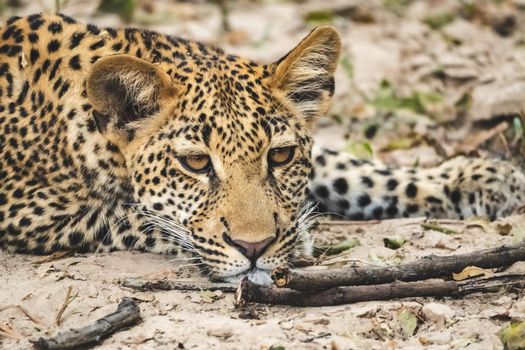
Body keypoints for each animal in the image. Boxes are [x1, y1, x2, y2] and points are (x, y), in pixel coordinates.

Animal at [0, 14, 520, 284]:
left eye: (280, 156)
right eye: (195, 163)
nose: (255, 248)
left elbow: (349, 167)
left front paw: (482, 178)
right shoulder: (30, 210)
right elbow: (140, 218)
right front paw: (296, 237)